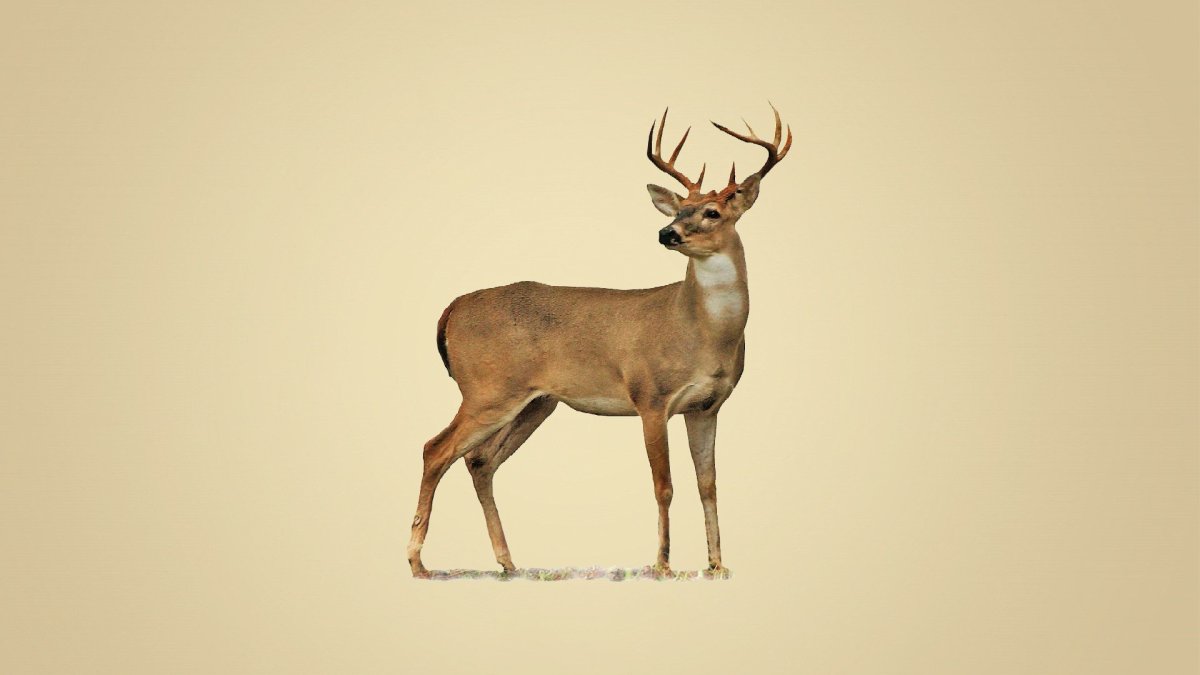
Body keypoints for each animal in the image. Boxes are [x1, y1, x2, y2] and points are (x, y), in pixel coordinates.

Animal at [407, 105, 792, 579]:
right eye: (680, 209)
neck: (701, 333)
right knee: (435, 449)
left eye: (712, 212)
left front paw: (717, 564)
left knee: (479, 461)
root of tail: (452, 308)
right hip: (487, 388)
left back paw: (508, 562)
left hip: (536, 402)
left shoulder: (707, 406)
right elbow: (664, 485)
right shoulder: (650, 396)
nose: (667, 233)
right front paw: (662, 563)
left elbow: (709, 484)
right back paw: (418, 562)